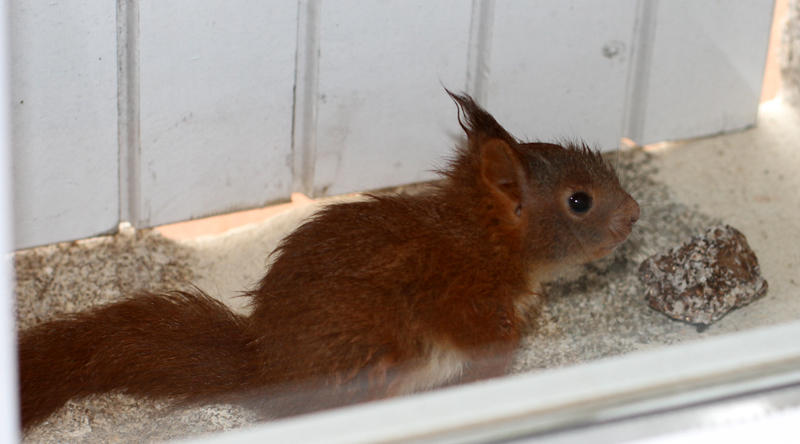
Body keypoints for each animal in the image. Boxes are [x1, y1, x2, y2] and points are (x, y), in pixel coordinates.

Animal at [15, 92, 640, 428]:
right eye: (579, 202)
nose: (635, 214)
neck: (486, 244)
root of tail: (266, 374)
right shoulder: (459, 297)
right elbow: (481, 339)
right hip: (373, 363)